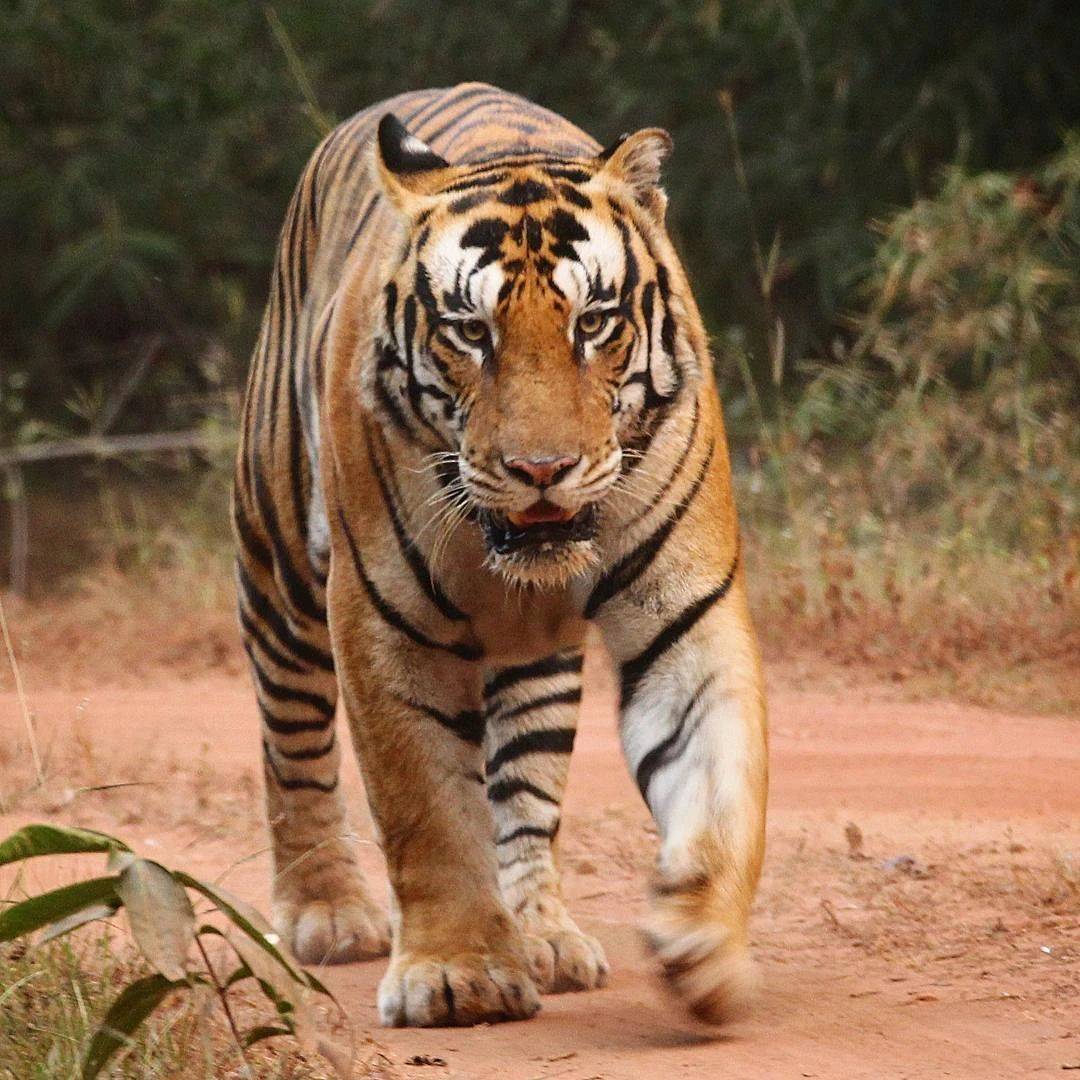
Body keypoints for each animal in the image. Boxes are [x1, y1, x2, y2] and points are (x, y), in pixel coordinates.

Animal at [233, 82, 767, 1028]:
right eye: (470, 331)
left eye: (593, 323)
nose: (541, 469)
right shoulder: (382, 619)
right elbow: (430, 810)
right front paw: (459, 975)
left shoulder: (686, 609)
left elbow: (716, 775)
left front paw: (701, 934)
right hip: (280, 561)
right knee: (291, 737)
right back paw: (326, 912)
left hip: (537, 660)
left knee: (523, 790)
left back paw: (544, 935)